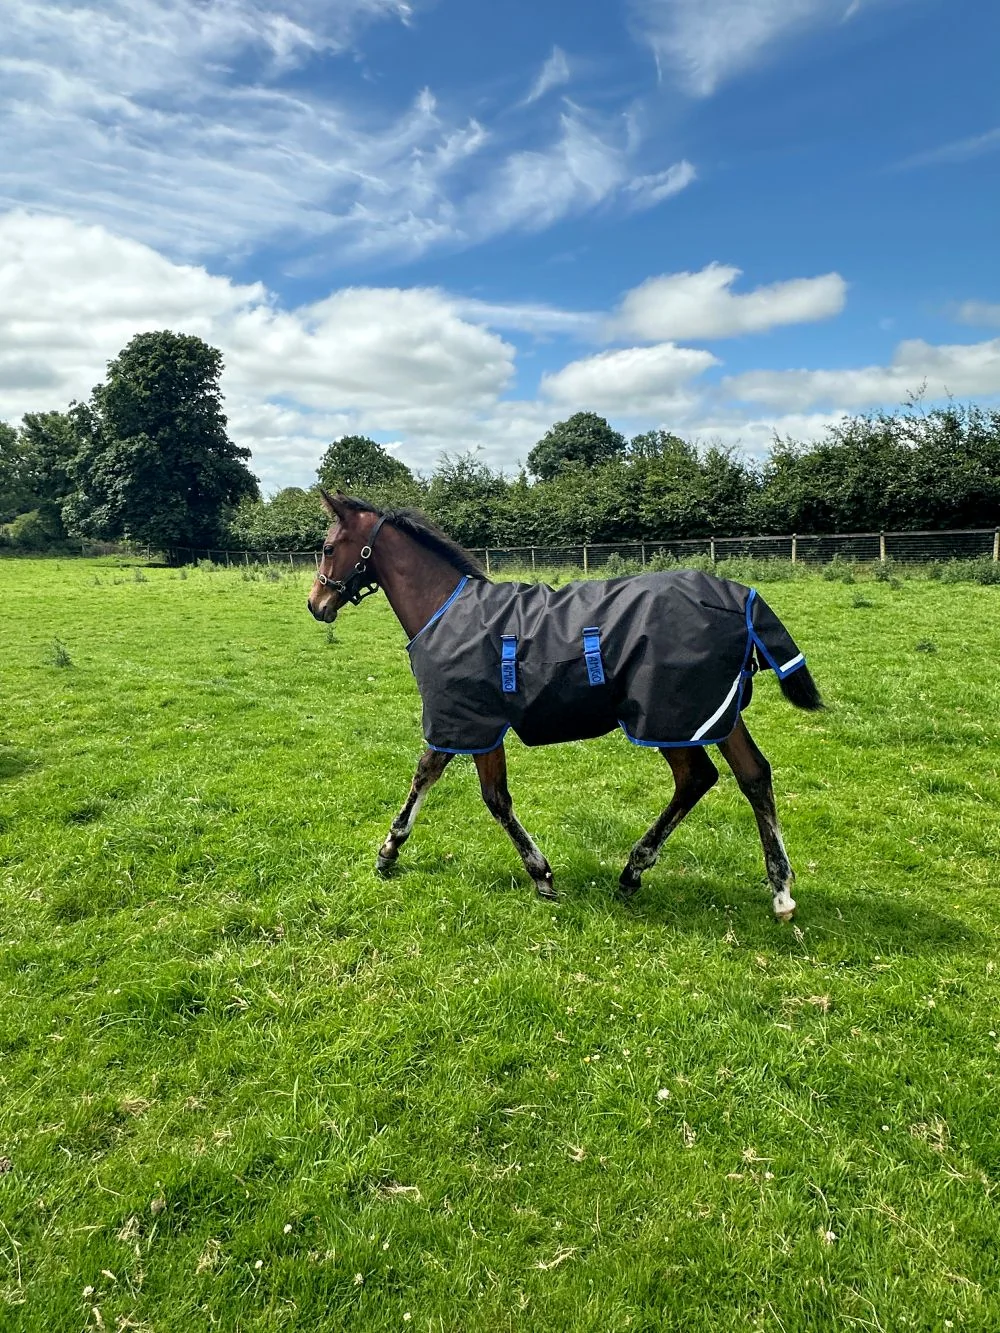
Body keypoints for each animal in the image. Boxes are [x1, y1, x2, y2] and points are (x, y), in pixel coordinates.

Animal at [307, 491, 823, 921]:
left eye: (329, 547)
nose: (316, 603)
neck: (445, 610)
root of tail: (740, 596)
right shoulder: (471, 724)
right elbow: (452, 781)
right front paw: (392, 850)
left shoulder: (468, 721)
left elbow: (475, 792)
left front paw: (537, 874)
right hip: (714, 714)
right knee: (754, 775)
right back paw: (780, 890)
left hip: (666, 719)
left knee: (697, 777)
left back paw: (634, 870)